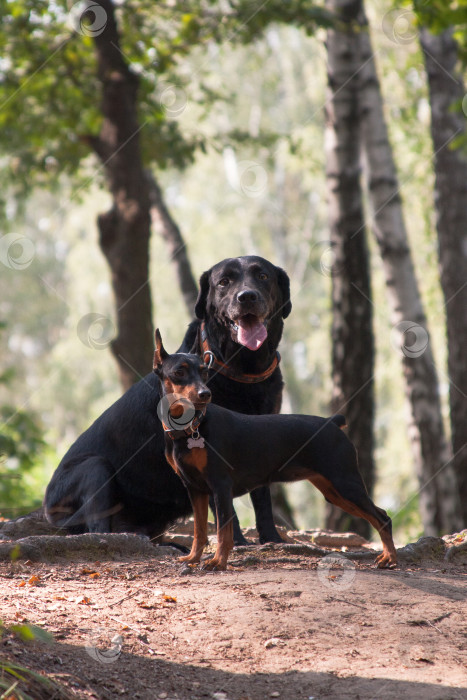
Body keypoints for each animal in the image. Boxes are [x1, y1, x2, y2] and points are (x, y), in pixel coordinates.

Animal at [44, 254, 292, 544]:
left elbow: (262, 497)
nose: (247, 296)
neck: (241, 370)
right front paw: (237, 542)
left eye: (262, 276)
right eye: (224, 282)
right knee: (98, 527)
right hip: (94, 467)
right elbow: (224, 506)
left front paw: (271, 538)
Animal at [154, 330, 398, 572]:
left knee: (383, 517)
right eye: (179, 372)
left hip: (345, 483)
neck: (192, 428)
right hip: (333, 491)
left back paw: (390, 559)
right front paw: (193, 558)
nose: (205, 394)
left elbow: (224, 531)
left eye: (204, 372)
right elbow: (200, 531)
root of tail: (332, 422)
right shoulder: (195, 489)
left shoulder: (220, 485)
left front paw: (218, 562)